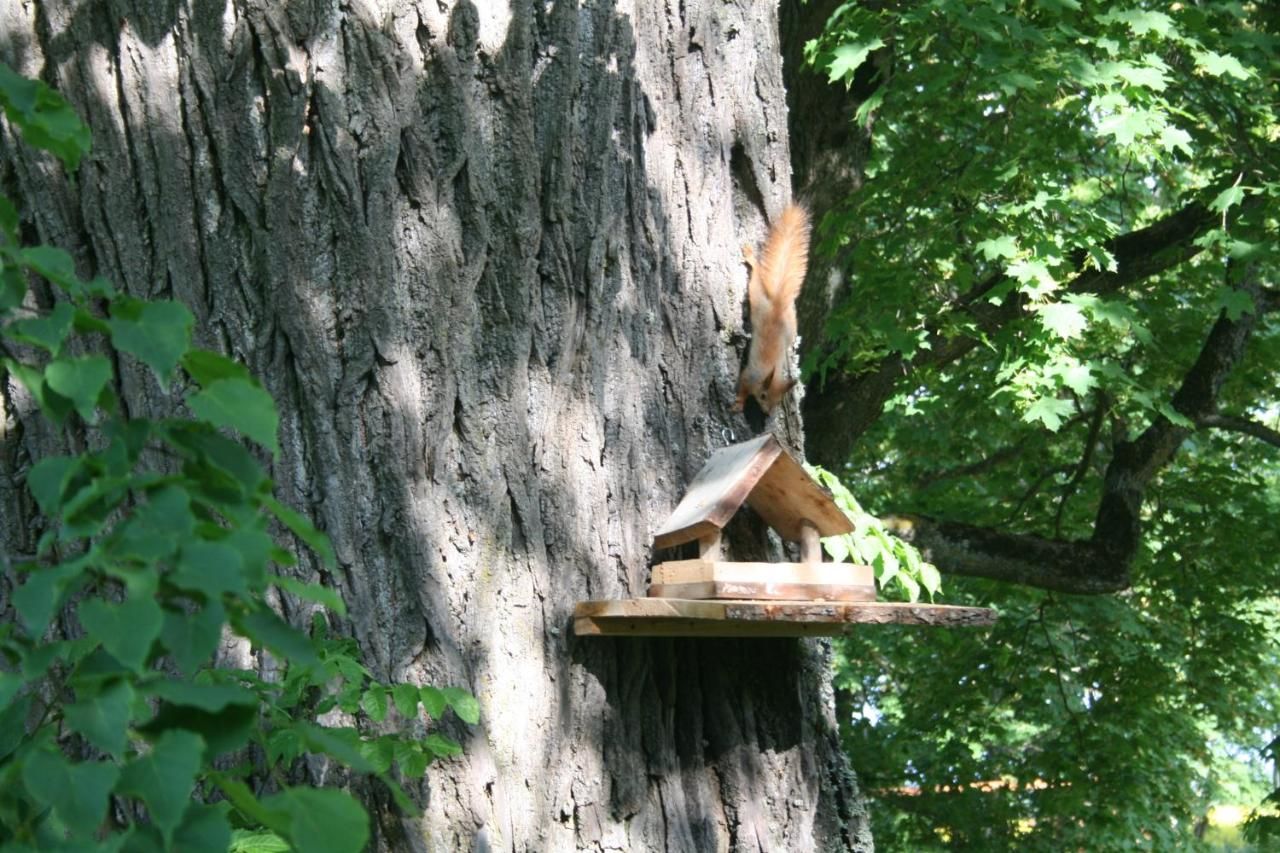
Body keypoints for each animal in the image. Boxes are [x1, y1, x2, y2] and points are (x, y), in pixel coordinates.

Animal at [732, 199, 808, 412]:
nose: (767, 412)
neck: (767, 375)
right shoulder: (749, 375)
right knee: (756, 277)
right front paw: (739, 403)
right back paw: (751, 258)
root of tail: (777, 303)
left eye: (778, 400)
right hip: (757, 297)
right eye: (764, 396)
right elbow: (742, 386)